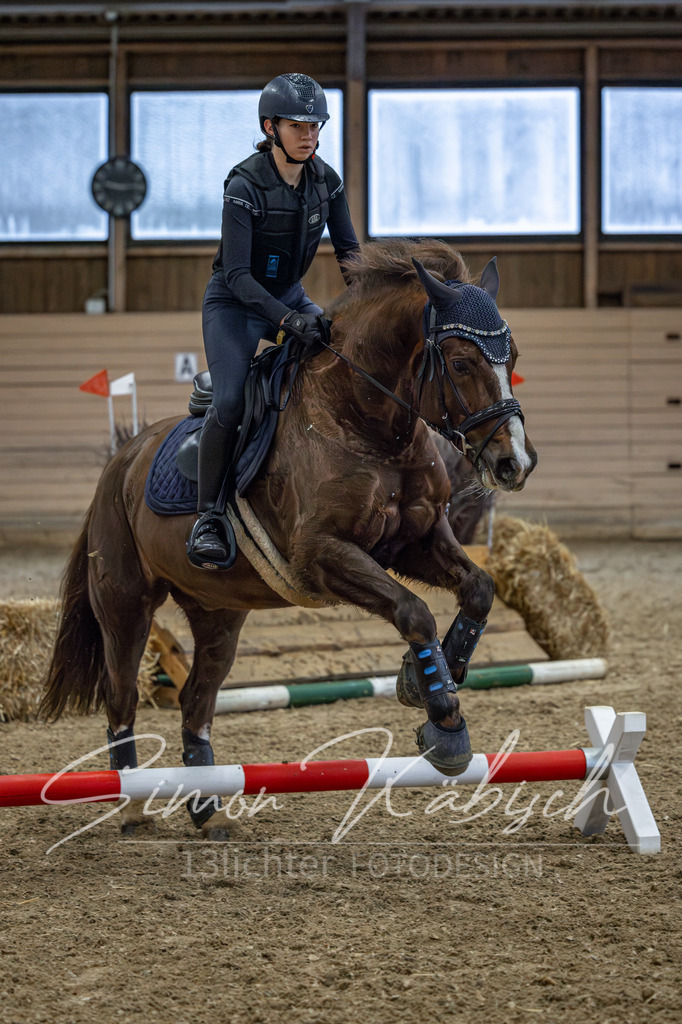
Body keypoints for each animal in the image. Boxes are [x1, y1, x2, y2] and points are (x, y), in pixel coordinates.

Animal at [41, 238, 537, 839]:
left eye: (512, 359)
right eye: (462, 362)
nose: (515, 464)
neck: (364, 422)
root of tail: (122, 460)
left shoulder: (416, 540)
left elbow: (479, 589)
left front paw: (428, 677)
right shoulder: (320, 555)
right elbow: (413, 611)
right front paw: (444, 724)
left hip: (218, 612)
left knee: (196, 699)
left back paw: (207, 808)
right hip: (124, 604)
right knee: (121, 695)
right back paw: (133, 801)